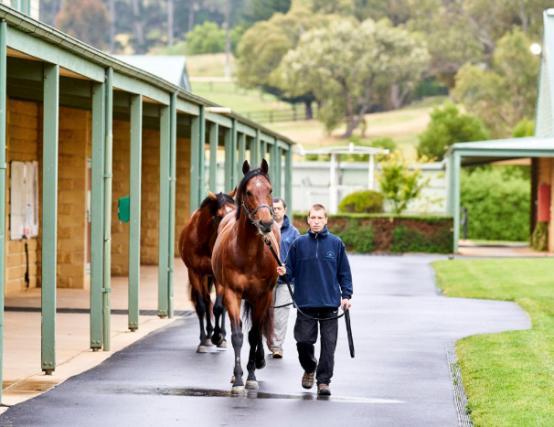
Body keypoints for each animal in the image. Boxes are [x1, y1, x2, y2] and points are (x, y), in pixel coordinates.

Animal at [179, 191, 235, 354]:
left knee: (222, 304)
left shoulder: (217, 275)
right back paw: (209, 335)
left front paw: (218, 337)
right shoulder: (194, 273)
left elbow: (218, 307)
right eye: (219, 215)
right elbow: (202, 306)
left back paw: (222, 336)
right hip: (204, 276)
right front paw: (204, 340)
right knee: (206, 300)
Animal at [211, 160, 280, 394]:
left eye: (270, 190)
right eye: (248, 191)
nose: (266, 223)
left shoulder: (262, 296)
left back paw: (259, 361)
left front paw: (250, 376)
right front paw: (239, 378)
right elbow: (238, 335)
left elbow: (254, 335)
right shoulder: (232, 293)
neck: (249, 254)